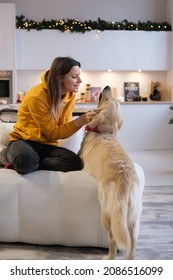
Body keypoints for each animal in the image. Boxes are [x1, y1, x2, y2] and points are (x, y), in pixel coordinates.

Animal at [78, 86, 139, 260]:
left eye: (106, 99)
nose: (106, 87)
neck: (104, 133)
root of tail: (125, 177)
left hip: (106, 212)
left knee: (112, 238)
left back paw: (109, 257)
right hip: (132, 216)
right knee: (132, 240)